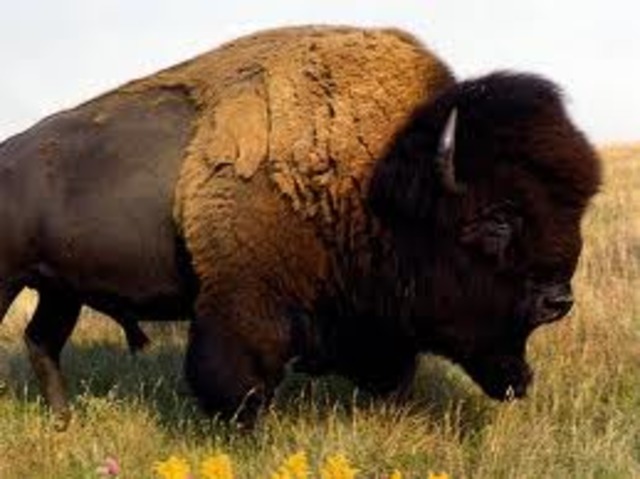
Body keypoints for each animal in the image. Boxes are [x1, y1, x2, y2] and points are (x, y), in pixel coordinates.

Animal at [0, 26, 600, 427]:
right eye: (496, 218)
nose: (558, 301)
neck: (376, 176)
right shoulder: (243, 308)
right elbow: (240, 383)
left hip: (59, 291)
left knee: (42, 342)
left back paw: (64, 421)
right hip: (12, 282)